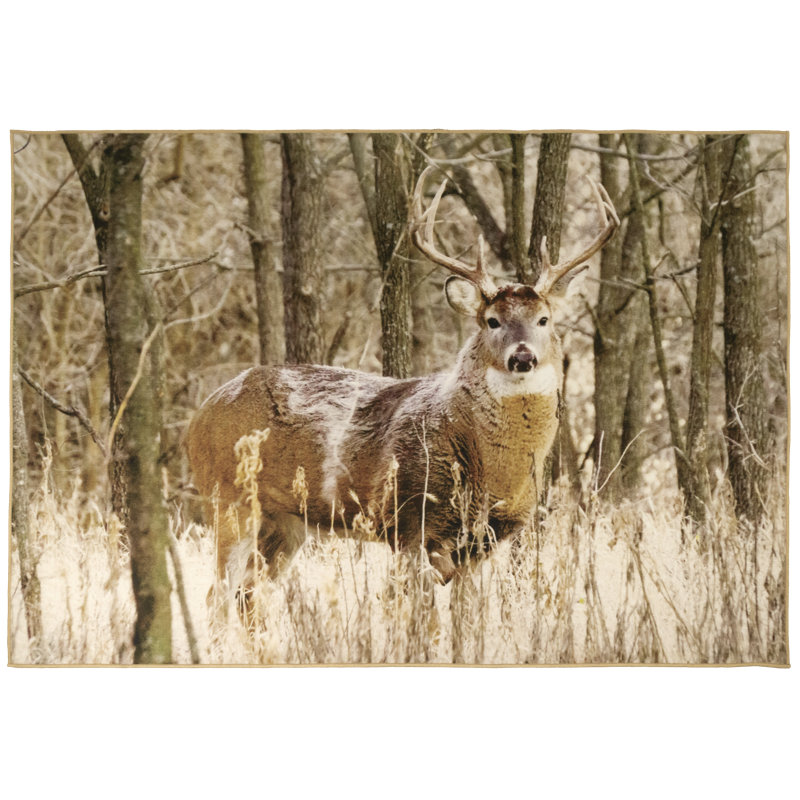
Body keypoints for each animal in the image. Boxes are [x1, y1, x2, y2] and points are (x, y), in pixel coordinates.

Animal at [185, 166, 619, 587]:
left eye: (544, 319)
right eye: (492, 321)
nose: (523, 356)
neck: (492, 473)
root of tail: (199, 417)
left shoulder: (483, 542)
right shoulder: (410, 520)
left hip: (286, 522)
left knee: (250, 594)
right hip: (228, 497)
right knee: (217, 592)